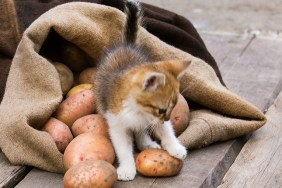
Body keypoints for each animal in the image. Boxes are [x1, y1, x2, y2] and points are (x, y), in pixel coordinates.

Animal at [94, 0, 189, 182]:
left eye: (172, 108)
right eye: (162, 110)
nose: (167, 118)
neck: (138, 110)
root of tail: (127, 45)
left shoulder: (154, 120)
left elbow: (166, 131)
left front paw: (175, 147)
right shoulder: (117, 124)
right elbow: (123, 148)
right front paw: (127, 168)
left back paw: (146, 142)